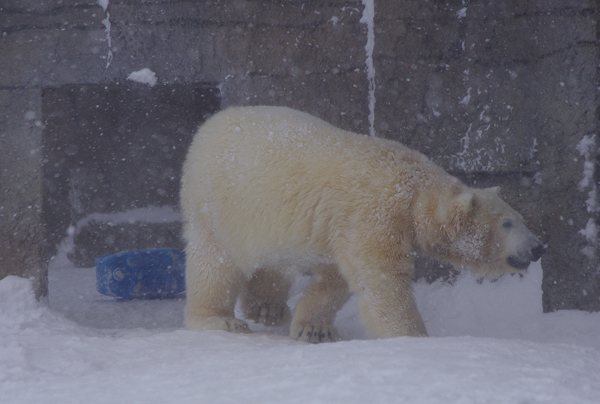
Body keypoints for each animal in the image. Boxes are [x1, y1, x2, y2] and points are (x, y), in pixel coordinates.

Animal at [179, 105, 544, 342]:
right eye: (508, 224)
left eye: (521, 219)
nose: (539, 247)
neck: (413, 188)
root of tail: (206, 127)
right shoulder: (375, 214)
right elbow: (382, 281)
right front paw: (414, 337)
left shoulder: (344, 227)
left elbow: (336, 278)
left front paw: (313, 329)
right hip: (216, 206)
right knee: (214, 264)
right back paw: (221, 320)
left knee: (273, 263)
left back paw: (268, 310)